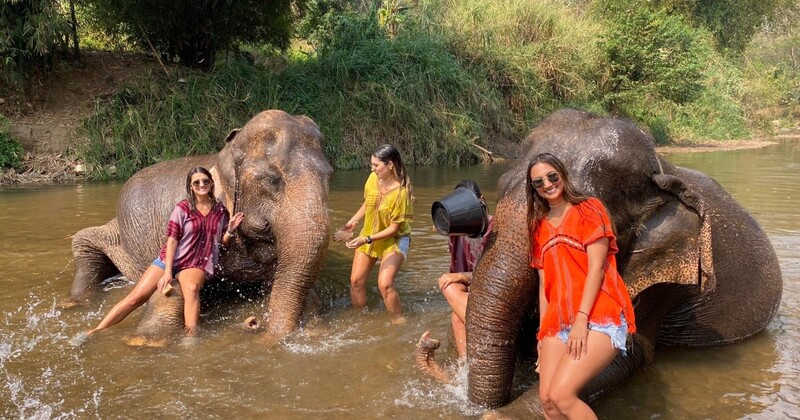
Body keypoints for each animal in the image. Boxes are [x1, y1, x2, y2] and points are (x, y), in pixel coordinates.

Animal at [67, 109, 332, 344]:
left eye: (330, 175)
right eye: (271, 179)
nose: (253, 322)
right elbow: (172, 285)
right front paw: (145, 340)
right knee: (83, 241)